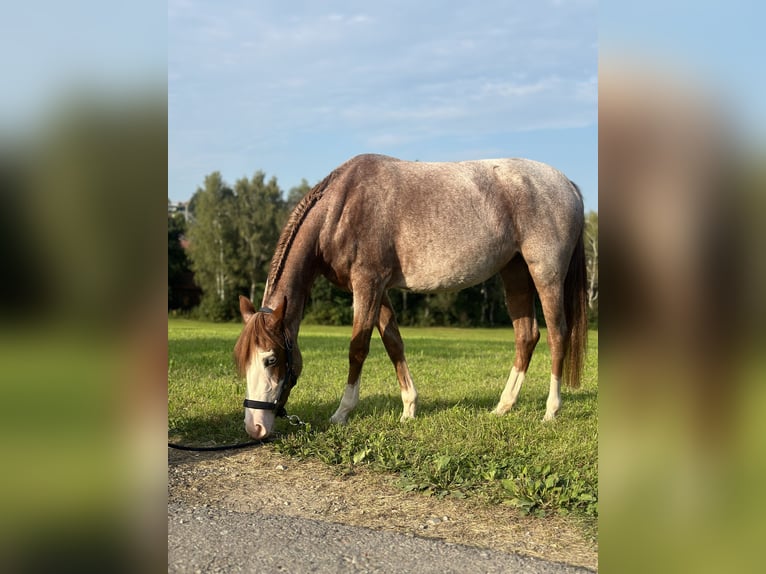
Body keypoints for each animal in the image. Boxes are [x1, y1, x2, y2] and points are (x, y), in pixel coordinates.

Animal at [234, 154, 588, 440]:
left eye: (271, 359)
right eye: (242, 360)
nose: (255, 428)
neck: (342, 206)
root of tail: (567, 184)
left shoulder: (368, 284)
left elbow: (358, 349)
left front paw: (342, 413)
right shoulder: (378, 290)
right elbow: (393, 343)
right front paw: (409, 409)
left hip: (546, 273)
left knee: (558, 334)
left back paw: (551, 411)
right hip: (514, 273)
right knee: (526, 336)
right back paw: (503, 406)